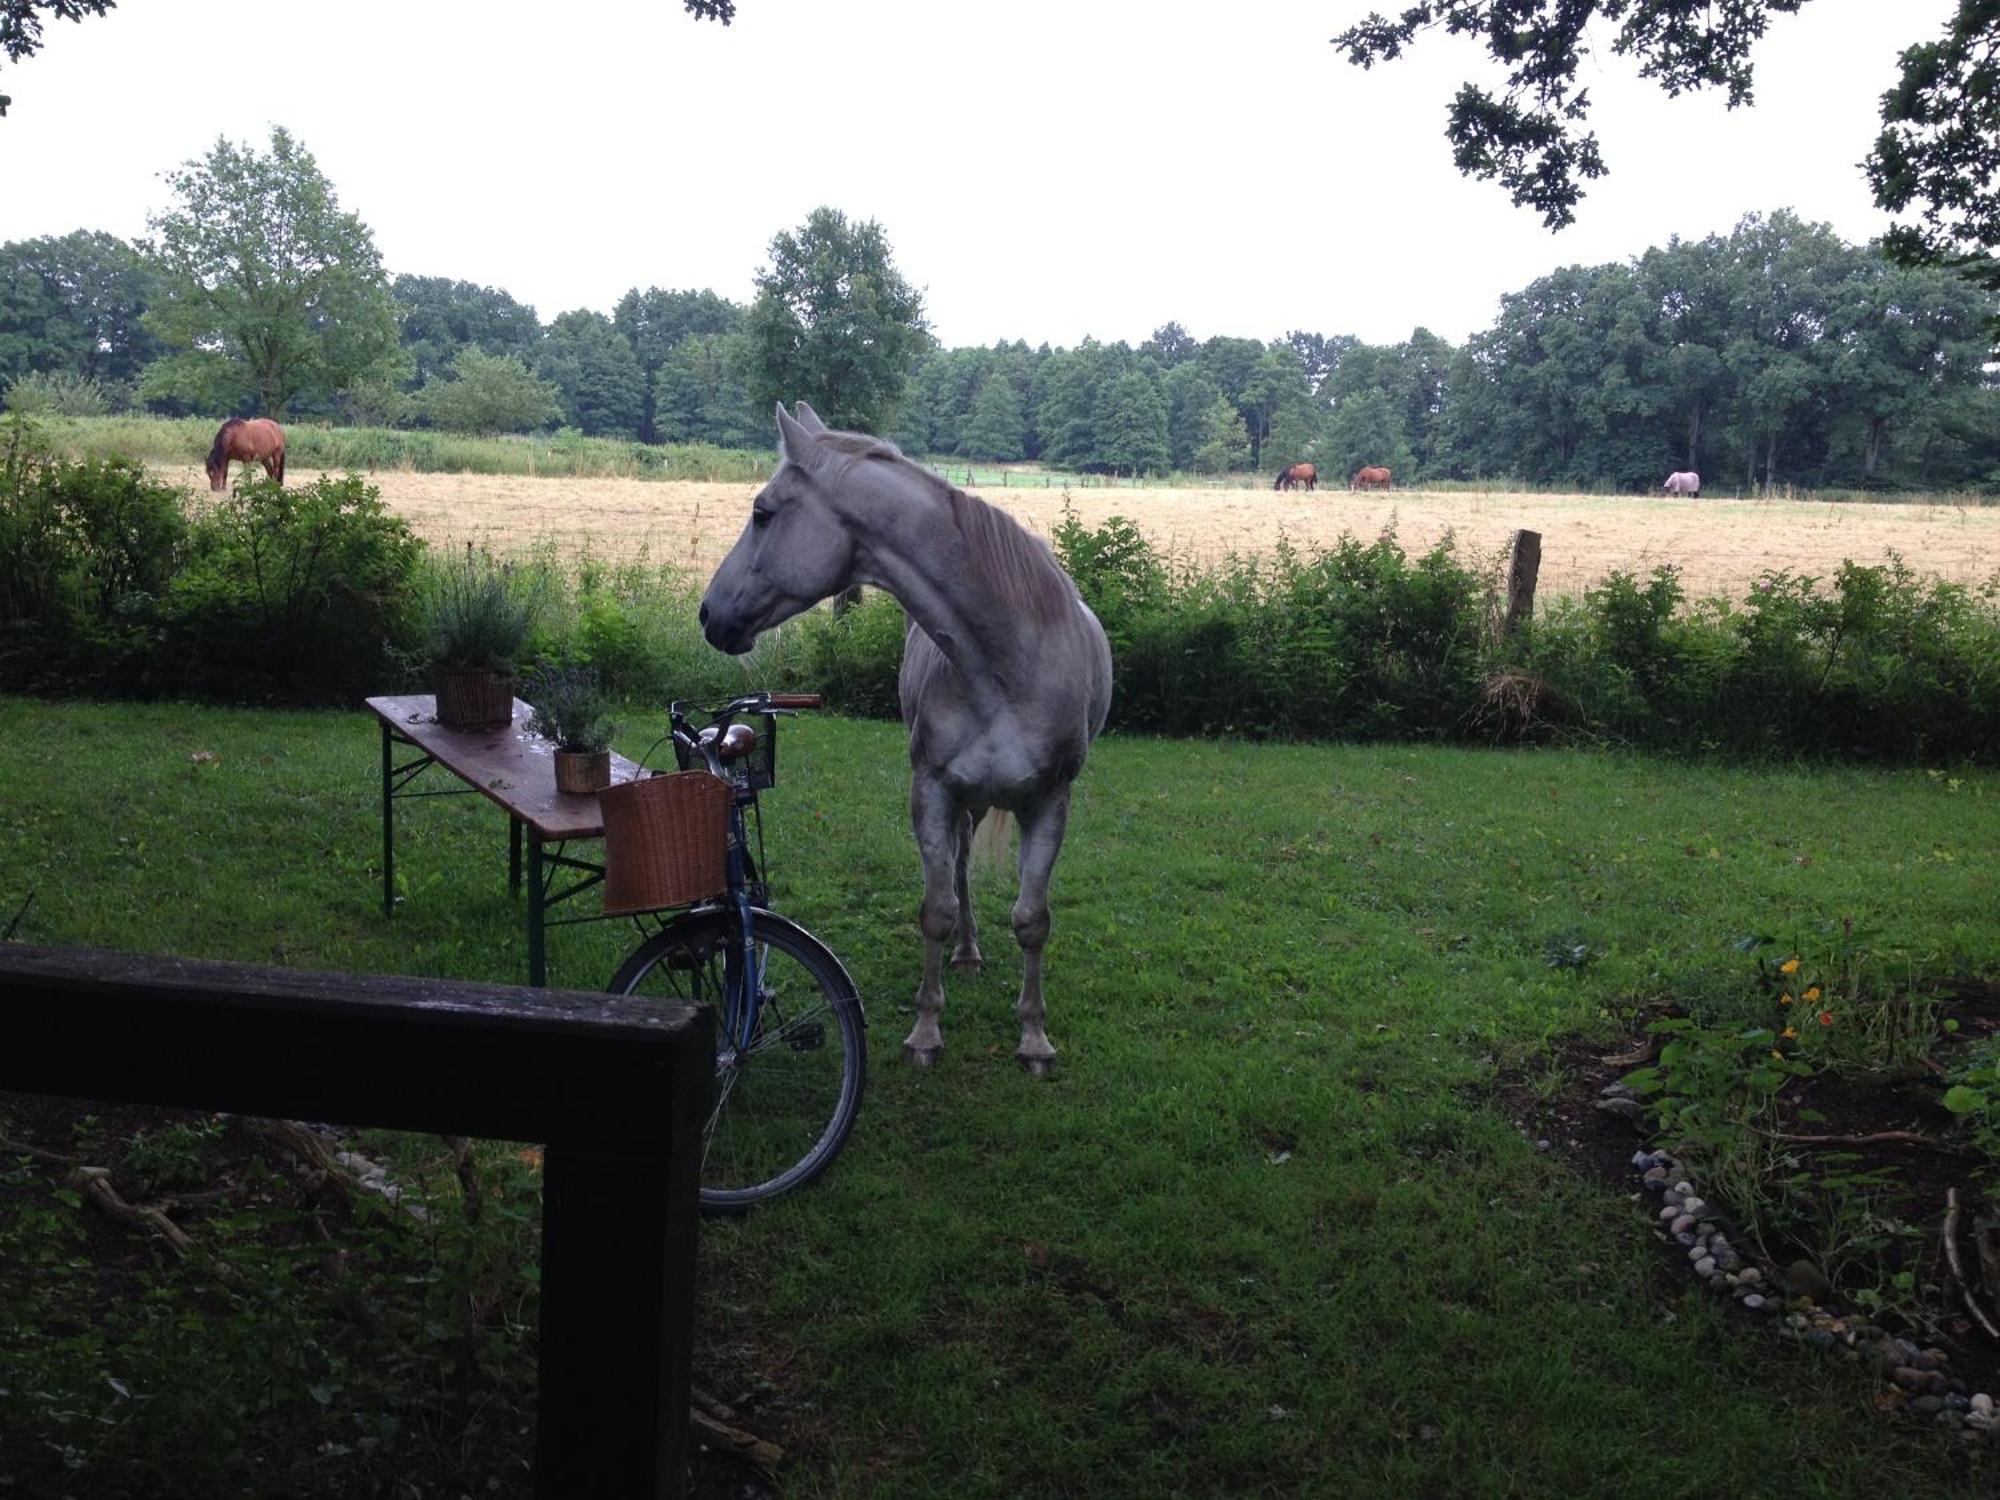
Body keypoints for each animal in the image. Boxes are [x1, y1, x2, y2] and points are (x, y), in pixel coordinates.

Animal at [700, 406, 1112, 1072]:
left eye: (763, 512)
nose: (709, 615)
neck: (1006, 663)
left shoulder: (1050, 803)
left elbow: (1032, 919)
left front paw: (1033, 1038)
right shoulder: (933, 794)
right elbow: (937, 911)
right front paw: (926, 1031)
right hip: (965, 803)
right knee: (963, 869)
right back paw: (967, 954)